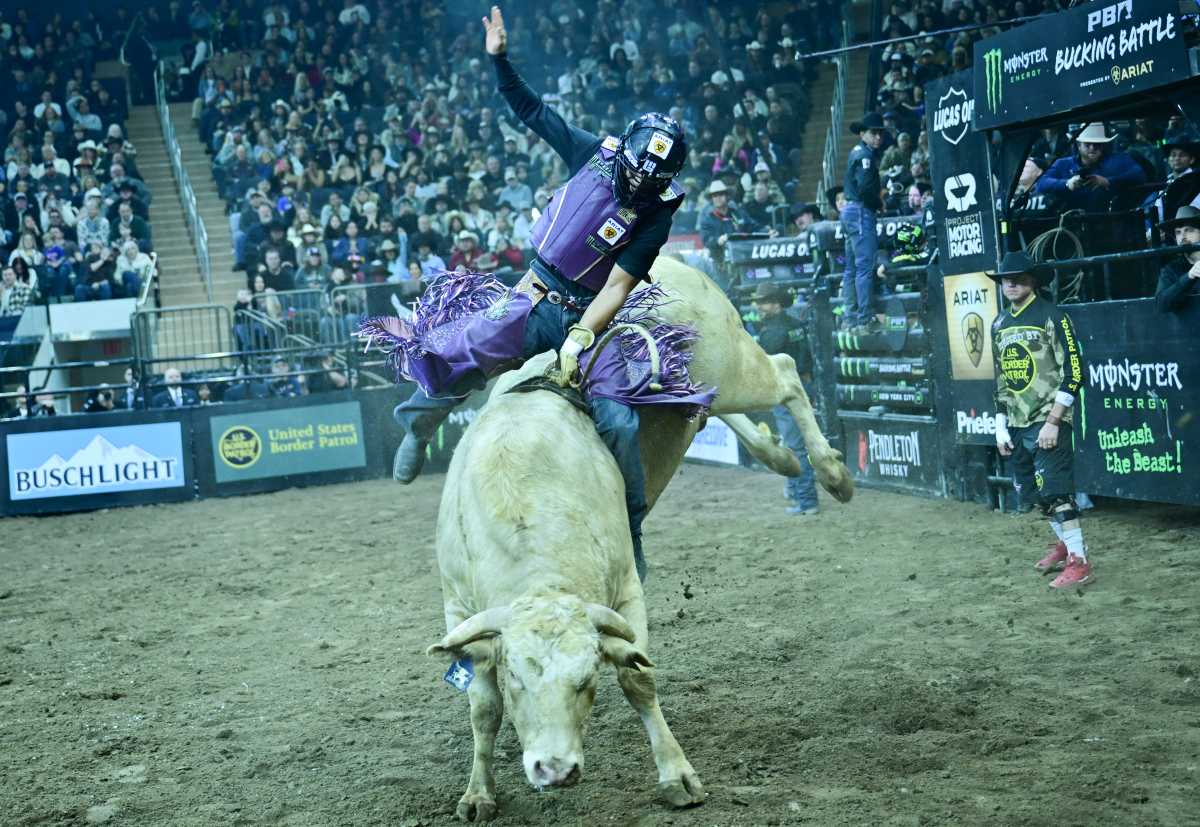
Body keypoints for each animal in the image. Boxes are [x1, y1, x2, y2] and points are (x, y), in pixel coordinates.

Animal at [425, 257, 853, 821]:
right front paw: (478, 794)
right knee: (715, 408)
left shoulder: (627, 588)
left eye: (587, 680)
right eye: (516, 677)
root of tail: (672, 263)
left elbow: (637, 677)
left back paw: (832, 474)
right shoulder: (458, 605)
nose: (555, 770)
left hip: (736, 365)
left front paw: (678, 776)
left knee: (783, 371)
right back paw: (779, 456)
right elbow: (483, 707)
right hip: (704, 392)